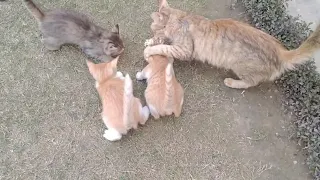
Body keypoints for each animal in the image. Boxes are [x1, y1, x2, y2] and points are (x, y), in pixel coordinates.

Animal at [144, 0, 320, 89]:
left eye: (153, 28)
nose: (152, 32)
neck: (181, 20)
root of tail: (281, 51)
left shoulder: (183, 49)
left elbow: (162, 47)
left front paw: (150, 50)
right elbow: (160, 42)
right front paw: (149, 42)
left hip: (239, 66)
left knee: (251, 83)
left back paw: (232, 82)